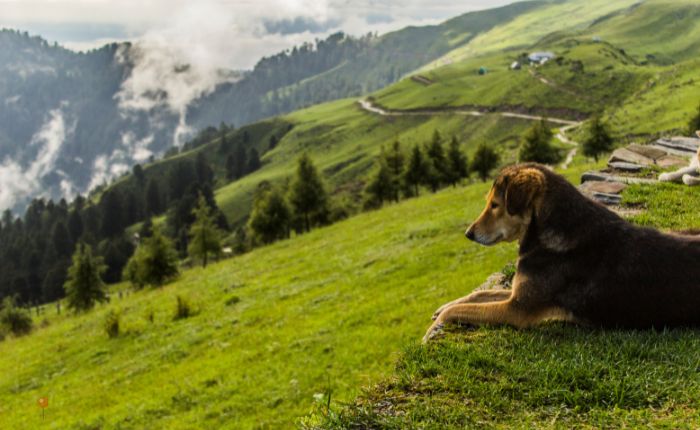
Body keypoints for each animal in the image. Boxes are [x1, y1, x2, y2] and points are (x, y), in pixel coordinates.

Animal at [424, 164, 700, 342]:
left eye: (495, 205)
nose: (468, 234)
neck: (546, 229)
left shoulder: (516, 309)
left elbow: (463, 310)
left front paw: (435, 325)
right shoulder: (518, 294)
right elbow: (479, 294)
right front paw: (444, 305)